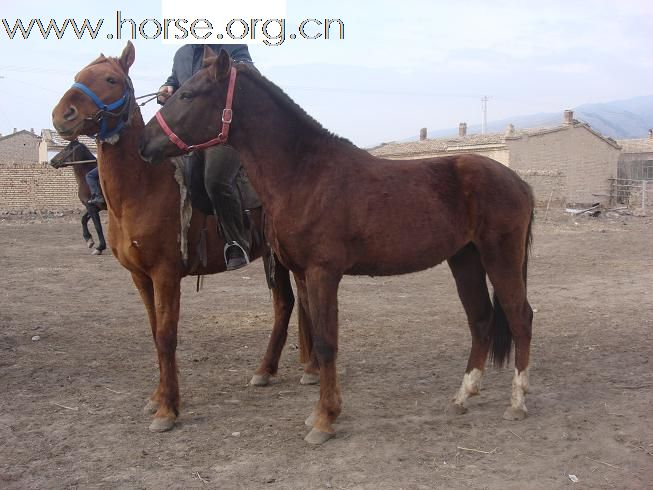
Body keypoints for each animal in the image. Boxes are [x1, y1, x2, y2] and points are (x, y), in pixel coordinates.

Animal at [50, 42, 316, 432]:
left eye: (111, 79)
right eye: (78, 75)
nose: (62, 115)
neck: (142, 187)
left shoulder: (165, 274)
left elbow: (166, 335)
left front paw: (168, 410)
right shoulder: (140, 276)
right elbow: (154, 331)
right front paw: (157, 397)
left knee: (305, 301)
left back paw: (311, 368)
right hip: (274, 257)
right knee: (285, 304)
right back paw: (267, 369)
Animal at [140, 48, 532, 444]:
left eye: (188, 95)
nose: (145, 144)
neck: (306, 174)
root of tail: (517, 181)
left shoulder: (323, 273)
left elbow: (327, 341)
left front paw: (324, 420)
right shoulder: (303, 273)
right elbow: (316, 333)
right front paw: (320, 411)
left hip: (500, 258)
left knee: (520, 317)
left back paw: (516, 404)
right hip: (465, 260)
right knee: (481, 319)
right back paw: (463, 397)